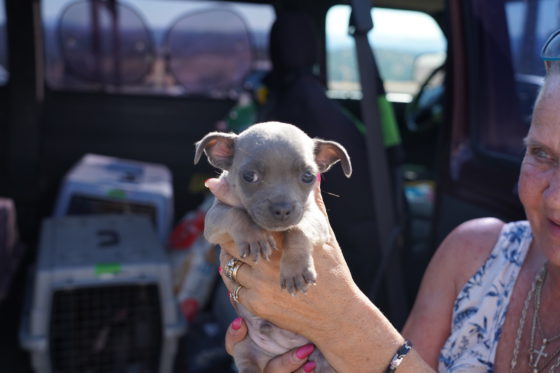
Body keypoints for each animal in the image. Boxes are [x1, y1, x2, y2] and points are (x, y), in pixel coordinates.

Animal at [194, 120, 350, 370]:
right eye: (249, 176)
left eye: (308, 176)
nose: (282, 209)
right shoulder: (214, 220)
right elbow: (236, 214)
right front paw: (254, 238)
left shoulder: (317, 220)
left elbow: (298, 230)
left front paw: (295, 270)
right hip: (246, 350)